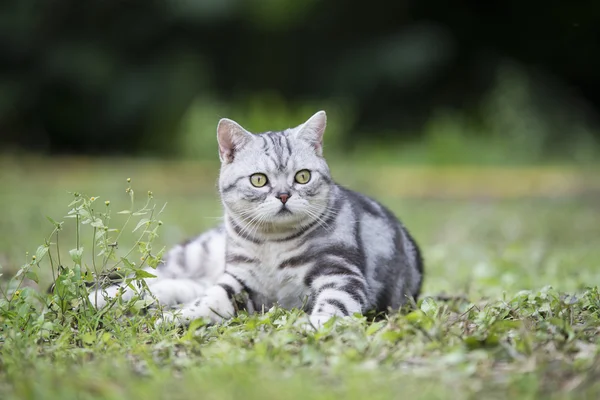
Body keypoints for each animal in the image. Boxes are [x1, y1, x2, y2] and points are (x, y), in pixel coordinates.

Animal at [91, 110, 424, 328]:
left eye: (302, 177)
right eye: (259, 180)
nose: (284, 195)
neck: (272, 242)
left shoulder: (341, 274)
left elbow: (334, 305)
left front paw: (315, 325)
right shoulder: (237, 281)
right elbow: (209, 301)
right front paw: (177, 317)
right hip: (192, 256)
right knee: (142, 278)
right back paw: (92, 299)